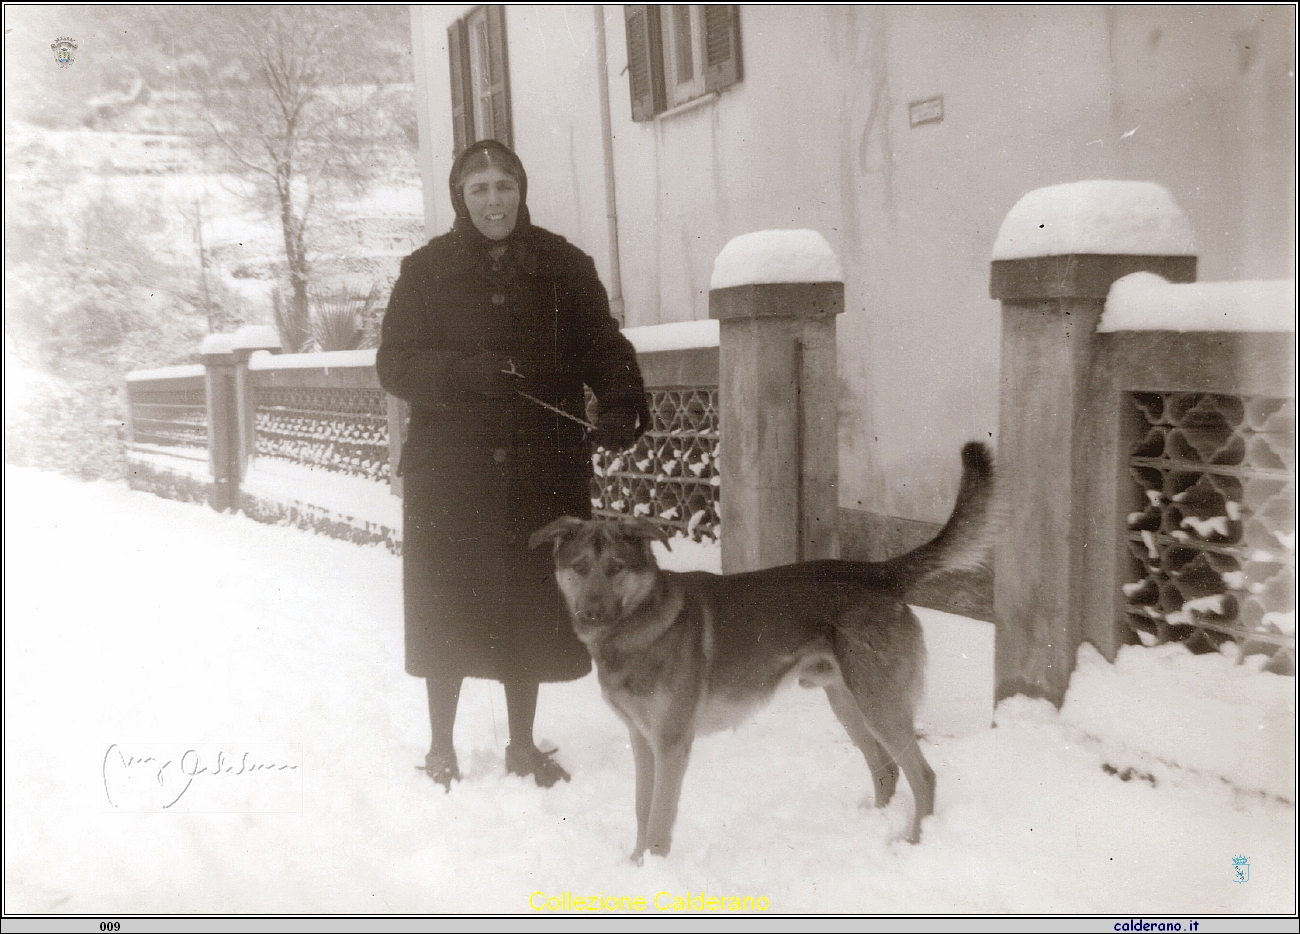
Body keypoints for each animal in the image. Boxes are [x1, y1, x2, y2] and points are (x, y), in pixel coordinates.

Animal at [527, 444, 993, 863]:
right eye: (579, 567)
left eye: (616, 568)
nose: (591, 613)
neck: (637, 625)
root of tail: (879, 573)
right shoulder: (643, 740)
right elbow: (643, 810)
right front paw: (635, 867)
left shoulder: (672, 745)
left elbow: (660, 818)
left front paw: (654, 872)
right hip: (848, 703)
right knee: (887, 770)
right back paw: (871, 827)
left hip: (879, 705)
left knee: (923, 776)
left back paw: (915, 843)